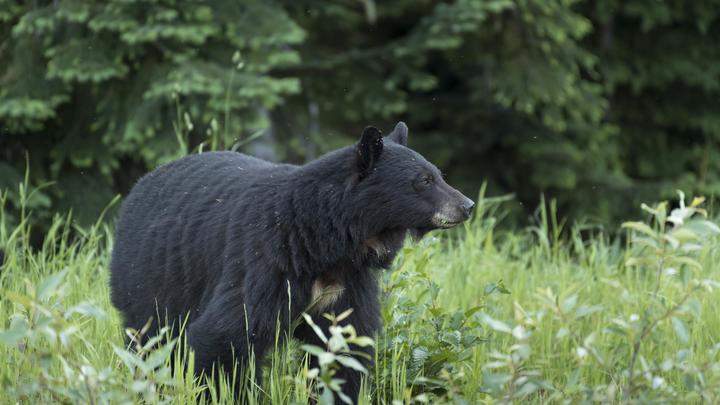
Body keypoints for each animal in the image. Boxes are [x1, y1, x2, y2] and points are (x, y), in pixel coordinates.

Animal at [109, 122, 476, 400]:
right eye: (424, 181)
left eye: (439, 174)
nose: (467, 205)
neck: (327, 243)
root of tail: (139, 187)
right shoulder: (265, 260)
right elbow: (226, 335)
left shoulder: (348, 283)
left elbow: (345, 344)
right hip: (150, 278)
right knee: (148, 340)